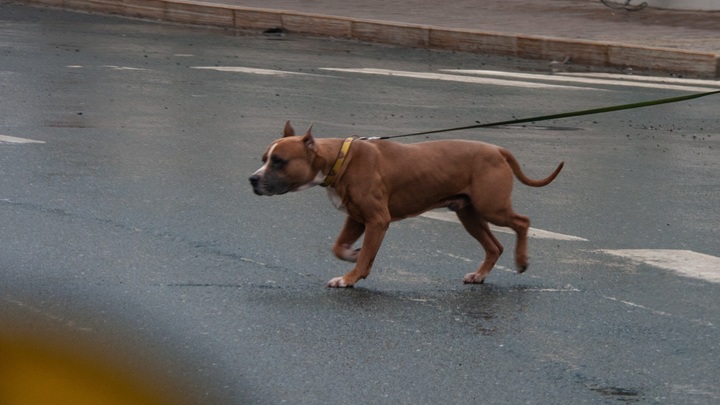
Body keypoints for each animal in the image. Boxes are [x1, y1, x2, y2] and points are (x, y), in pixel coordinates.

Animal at [250, 121, 564, 286]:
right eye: (264, 159)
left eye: (279, 161)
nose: (252, 179)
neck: (339, 158)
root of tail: (498, 149)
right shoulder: (356, 218)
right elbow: (338, 246)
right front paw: (353, 255)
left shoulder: (377, 220)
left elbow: (363, 255)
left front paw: (351, 277)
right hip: (470, 214)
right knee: (494, 246)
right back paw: (480, 274)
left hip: (492, 208)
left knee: (522, 222)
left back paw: (521, 261)